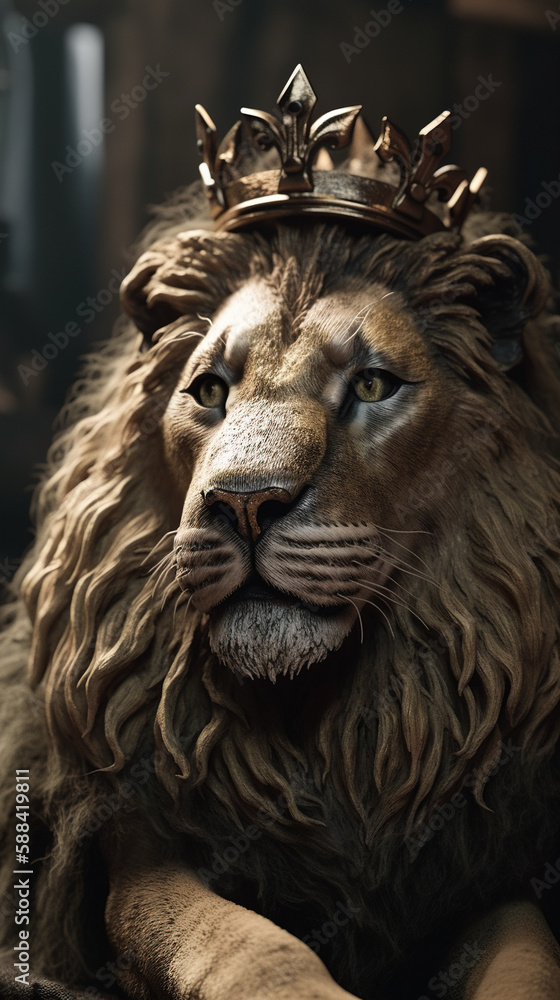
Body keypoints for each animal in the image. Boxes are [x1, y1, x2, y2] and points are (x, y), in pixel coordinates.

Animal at [1, 176, 560, 1000]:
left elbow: (530, 965)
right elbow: (250, 946)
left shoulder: (487, 871)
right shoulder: (140, 850)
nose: (244, 503)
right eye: (209, 391)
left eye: (372, 384)